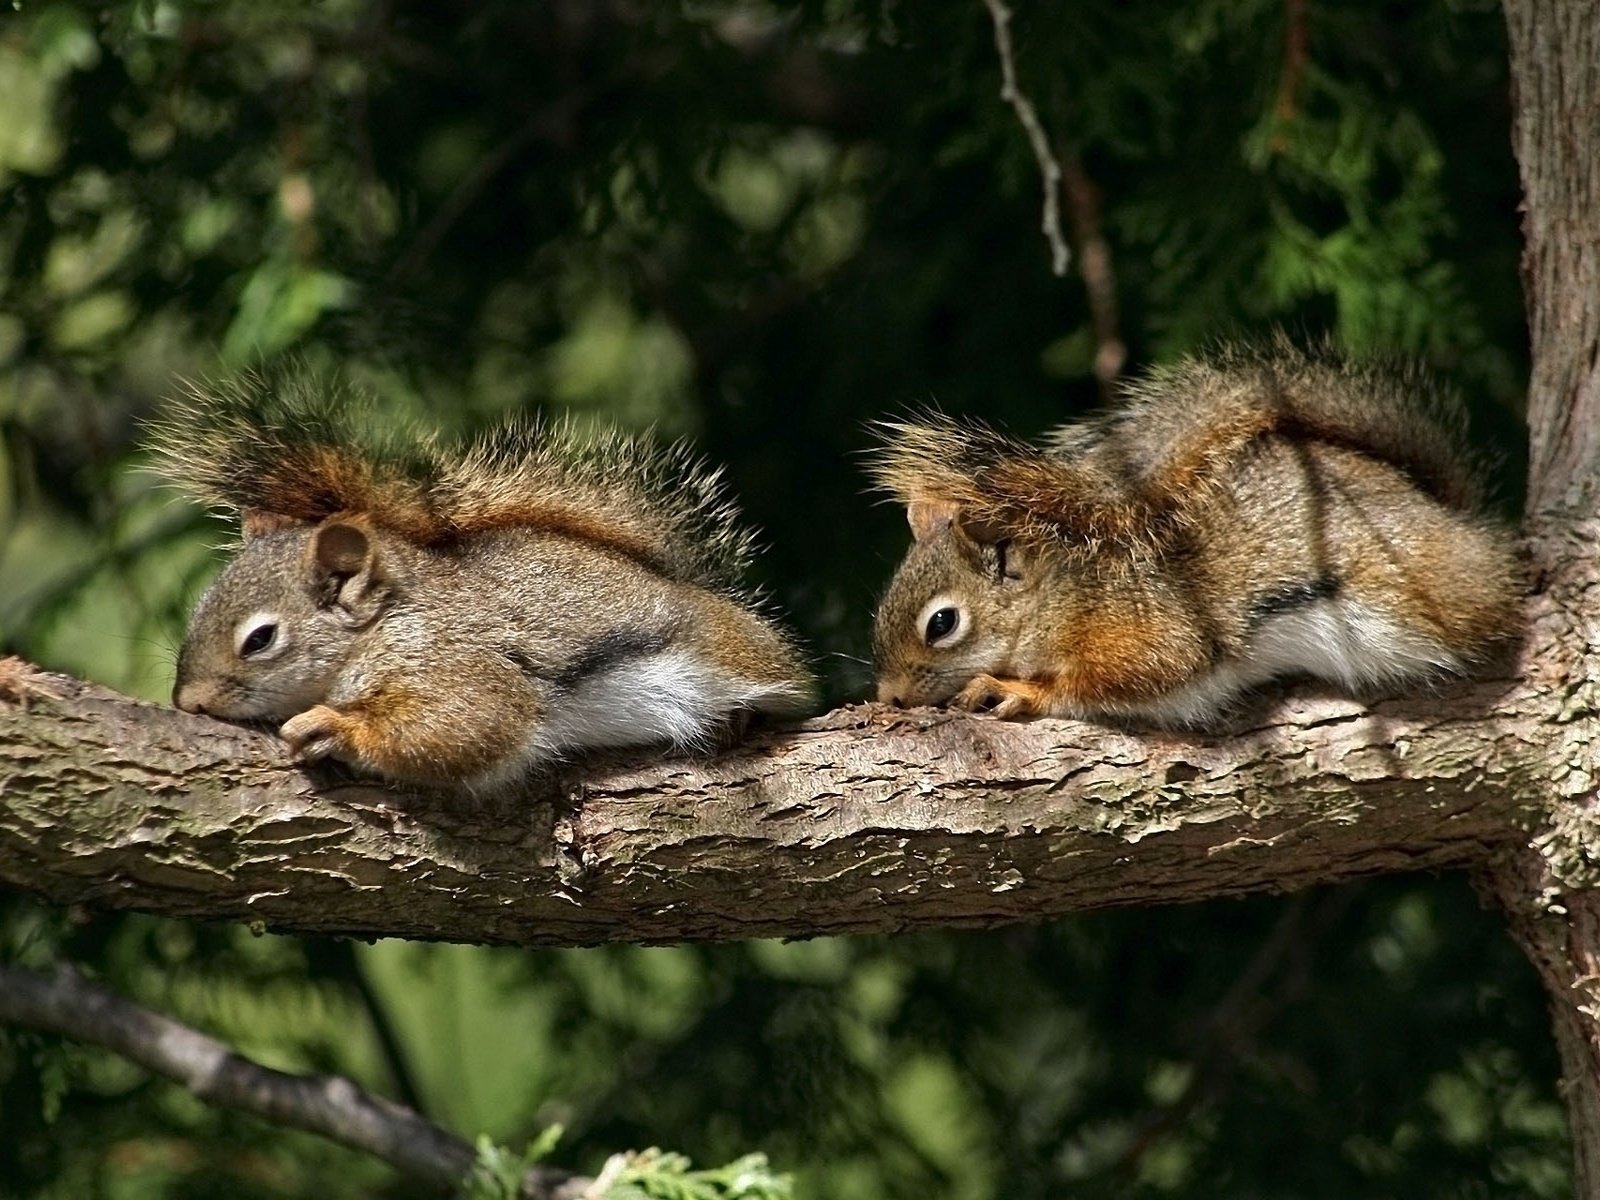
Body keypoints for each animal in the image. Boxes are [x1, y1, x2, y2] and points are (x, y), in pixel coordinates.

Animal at [152, 371, 812, 793]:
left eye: (260, 639)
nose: (189, 703)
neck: (381, 627)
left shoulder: (456, 662)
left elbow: (471, 724)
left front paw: (333, 727)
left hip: (736, 655)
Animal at [876, 342, 1523, 729]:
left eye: (942, 624)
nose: (890, 697)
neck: (1063, 593)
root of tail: (1459, 521)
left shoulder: (1146, 630)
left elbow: (1131, 678)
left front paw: (1013, 689)